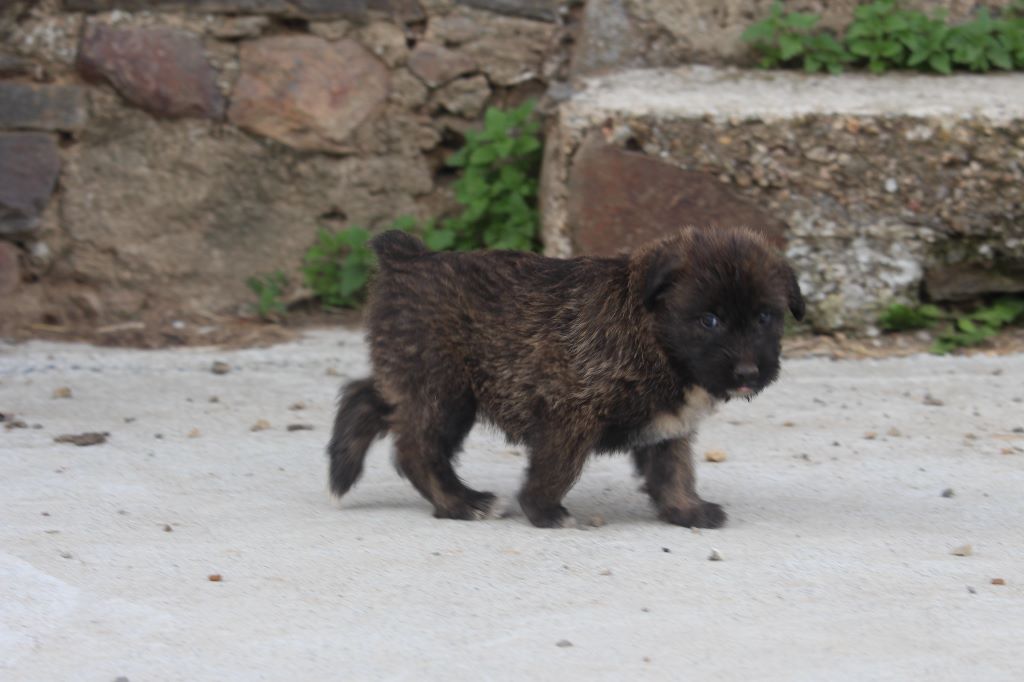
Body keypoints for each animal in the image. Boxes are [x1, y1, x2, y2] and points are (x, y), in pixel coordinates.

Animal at [325, 225, 798, 528]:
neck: (649, 333)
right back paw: (462, 503)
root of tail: (406, 258)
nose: (748, 371)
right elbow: (558, 466)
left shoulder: (668, 426)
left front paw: (687, 511)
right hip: (445, 391)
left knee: (365, 397)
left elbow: (674, 471)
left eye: (765, 317)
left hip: (414, 377)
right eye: (709, 320)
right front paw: (543, 510)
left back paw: (342, 469)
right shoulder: (570, 412)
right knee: (416, 448)